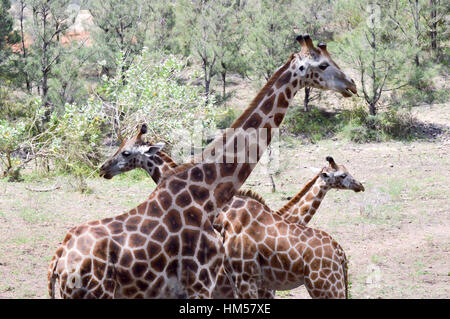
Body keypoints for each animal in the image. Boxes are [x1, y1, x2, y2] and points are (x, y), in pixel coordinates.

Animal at [47, 33, 356, 298]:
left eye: (125, 152)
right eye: (323, 64)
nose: (351, 84)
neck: (207, 195)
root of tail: (58, 262)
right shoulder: (203, 282)